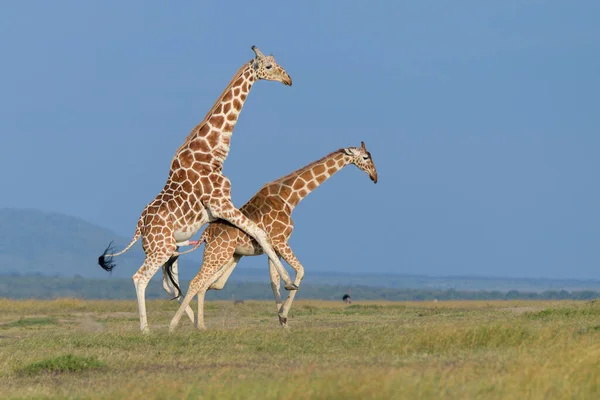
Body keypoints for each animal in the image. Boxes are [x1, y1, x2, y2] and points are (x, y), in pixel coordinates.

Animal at [98, 45, 300, 332]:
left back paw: (185, 322)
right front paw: (289, 281)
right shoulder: (221, 203)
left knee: (169, 286)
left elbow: (252, 236)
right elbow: (259, 232)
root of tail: (139, 229)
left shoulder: (218, 213)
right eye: (269, 66)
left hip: (167, 247)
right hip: (161, 249)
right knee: (140, 278)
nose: (288, 79)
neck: (212, 151)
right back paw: (147, 329)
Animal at [166, 141, 378, 332]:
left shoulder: (273, 247)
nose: (374, 176)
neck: (290, 198)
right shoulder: (280, 240)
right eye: (365, 157)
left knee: (207, 285)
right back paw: (175, 324)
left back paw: (200, 324)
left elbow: (274, 282)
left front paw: (283, 321)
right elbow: (299, 271)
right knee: (197, 282)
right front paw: (284, 314)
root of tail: (206, 233)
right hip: (218, 254)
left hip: (228, 255)